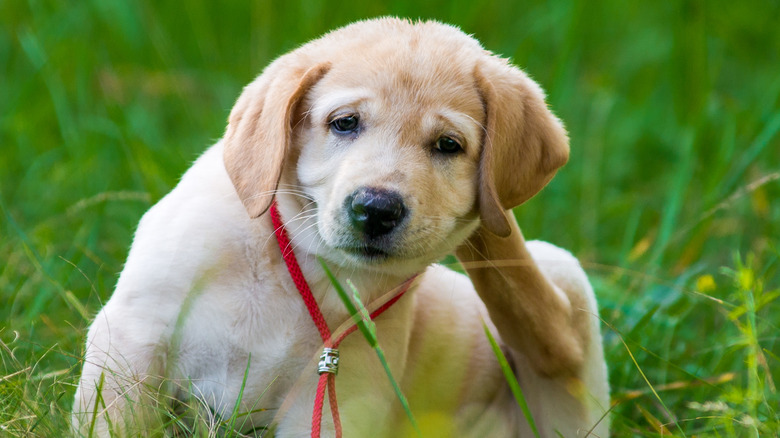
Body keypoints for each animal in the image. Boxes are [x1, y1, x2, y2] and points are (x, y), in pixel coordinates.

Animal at [73, 18, 608, 438]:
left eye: (448, 145)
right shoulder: (134, 337)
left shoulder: (341, 394)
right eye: (345, 123)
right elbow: (117, 420)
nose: (376, 209)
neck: (299, 263)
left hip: (561, 290)